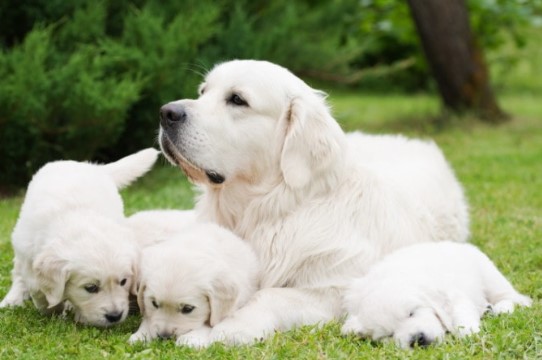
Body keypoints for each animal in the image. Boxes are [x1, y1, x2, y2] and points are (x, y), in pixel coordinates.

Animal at [0, 148, 160, 328]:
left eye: (123, 281)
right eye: (90, 288)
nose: (115, 316)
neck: (78, 217)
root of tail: (90, 166)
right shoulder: (30, 257)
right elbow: (39, 290)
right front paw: (53, 309)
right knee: (18, 274)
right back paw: (12, 300)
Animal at [131, 222, 260, 346]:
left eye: (187, 309)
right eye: (154, 304)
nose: (164, 336)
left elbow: (211, 323)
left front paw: (191, 338)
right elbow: (148, 316)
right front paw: (141, 334)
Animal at [158, 59, 472, 346]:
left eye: (237, 99)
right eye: (203, 91)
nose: (166, 113)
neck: (269, 210)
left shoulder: (336, 289)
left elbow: (269, 295)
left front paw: (230, 328)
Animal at [344, 242, 536, 348]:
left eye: (412, 313)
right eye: (388, 335)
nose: (417, 339)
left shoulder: (453, 296)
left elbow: (461, 316)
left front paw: (469, 334)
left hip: (488, 274)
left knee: (513, 297)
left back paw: (502, 308)